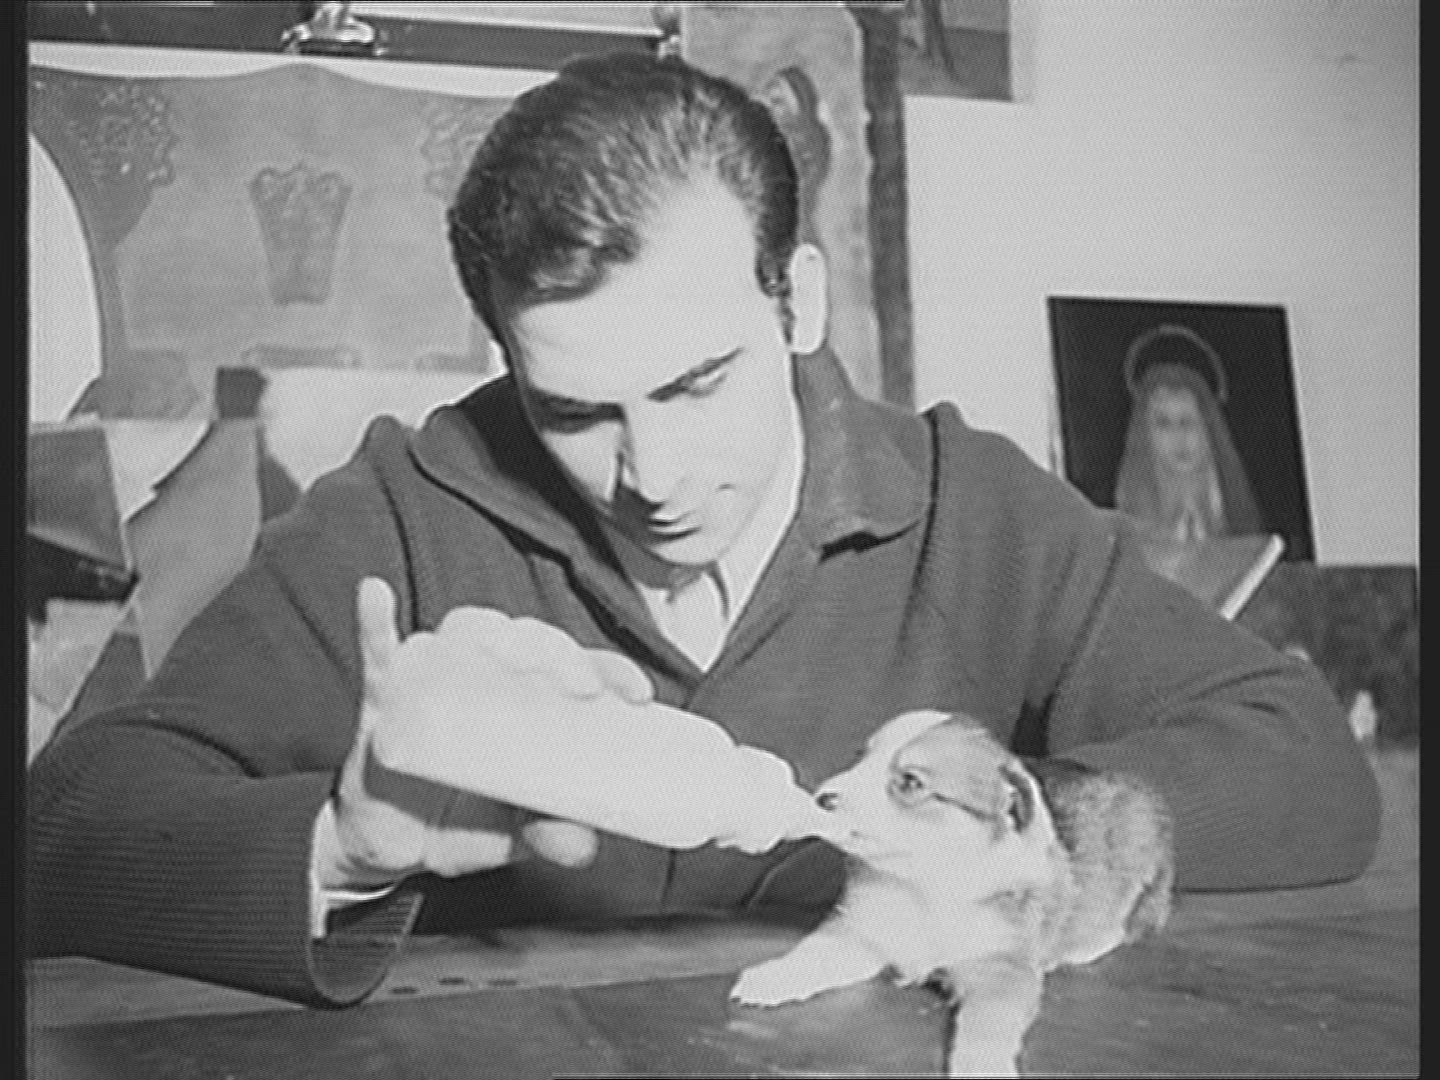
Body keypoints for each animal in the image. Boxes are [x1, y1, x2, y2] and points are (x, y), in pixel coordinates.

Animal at [731, 709, 1173, 1078]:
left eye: (910, 781)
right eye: (859, 759)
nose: (820, 797)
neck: (925, 881)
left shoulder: (1003, 971)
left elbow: (987, 1025)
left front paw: (985, 1067)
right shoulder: (862, 933)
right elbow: (812, 954)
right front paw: (769, 977)